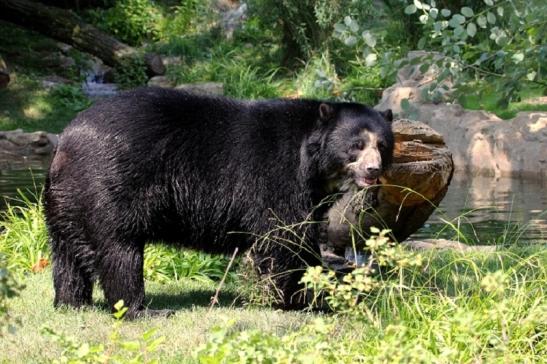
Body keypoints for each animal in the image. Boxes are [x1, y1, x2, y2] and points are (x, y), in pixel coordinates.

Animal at [44, 86, 394, 318]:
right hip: (111, 184)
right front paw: (300, 300)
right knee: (119, 250)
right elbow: (284, 237)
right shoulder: (279, 175)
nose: (373, 169)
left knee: (67, 252)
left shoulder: (313, 193)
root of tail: (67, 139)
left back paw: (71, 302)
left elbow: (301, 232)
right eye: (356, 146)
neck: (314, 166)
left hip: (68, 199)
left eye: (383, 145)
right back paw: (140, 310)